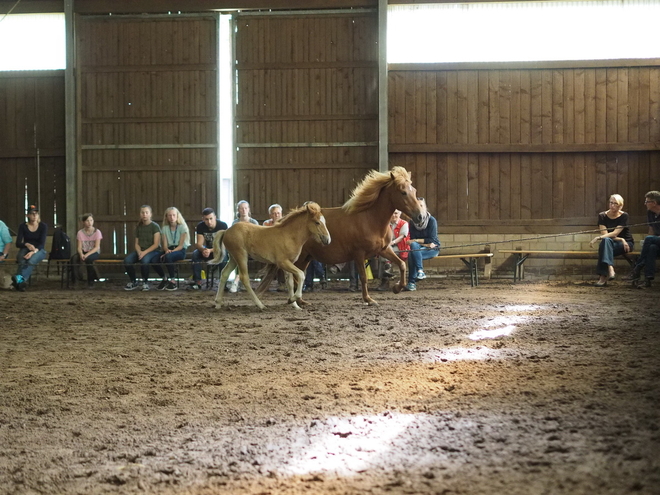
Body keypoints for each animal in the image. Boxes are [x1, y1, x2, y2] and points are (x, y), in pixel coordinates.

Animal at [255, 168, 426, 306]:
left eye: (415, 190)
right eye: (403, 192)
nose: (421, 217)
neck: (370, 219)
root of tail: (283, 222)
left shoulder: (383, 249)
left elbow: (402, 265)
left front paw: (397, 288)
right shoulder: (359, 254)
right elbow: (363, 277)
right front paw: (368, 299)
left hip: (306, 258)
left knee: (298, 276)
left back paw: (301, 301)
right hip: (298, 257)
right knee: (294, 276)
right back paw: (294, 300)